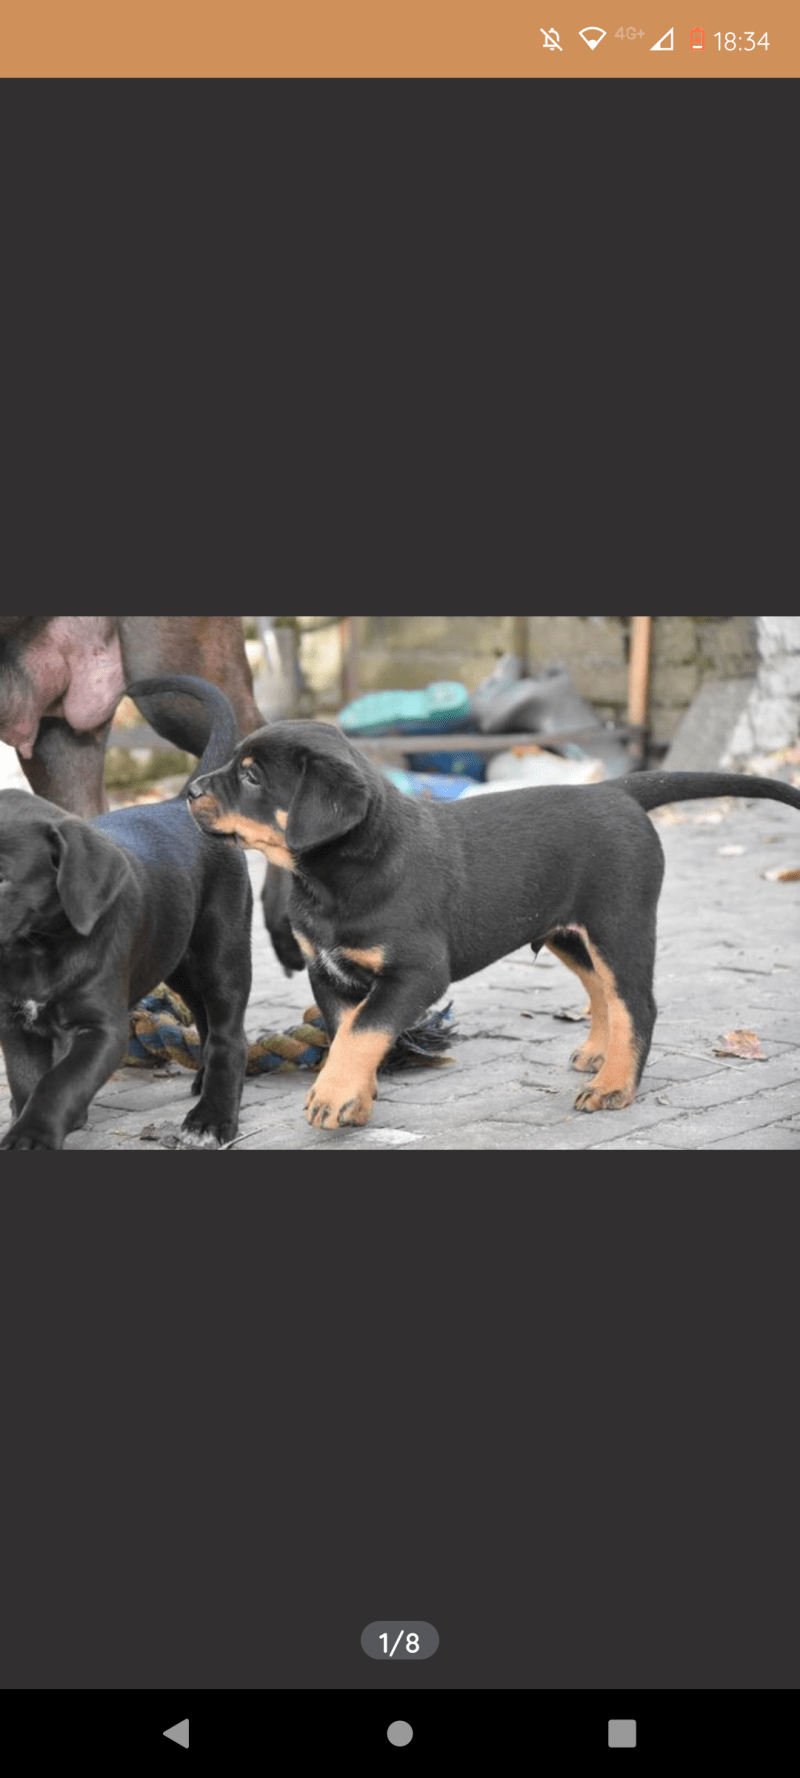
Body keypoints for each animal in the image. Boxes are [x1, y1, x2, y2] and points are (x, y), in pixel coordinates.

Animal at [0, 668, 252, 1152]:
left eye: (2, 878)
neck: (38, 949)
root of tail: (178, 803)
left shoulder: (102, 1029)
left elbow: (59, 1083)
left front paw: (32, 1136)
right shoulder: (16, 1022)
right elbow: (29, 1081)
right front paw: (28, 1124)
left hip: (223, 952)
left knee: (229, 1036)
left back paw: (212, 1118)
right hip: (176, 956)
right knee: (205, 1019)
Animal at [187, 725, 800, 1130]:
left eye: (250, 775)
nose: (190, 790)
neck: (332, 875)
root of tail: (616, 790)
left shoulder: (416, 973)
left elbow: (363, 1030)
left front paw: (333, 1095)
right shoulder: (327, 971)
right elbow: (348, 1032)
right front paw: (355, 1098)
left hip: (620, 922)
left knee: (637, 1005)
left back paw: (614, 1086)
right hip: (567, 930)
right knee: (601, 988)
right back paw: (598, 1055)